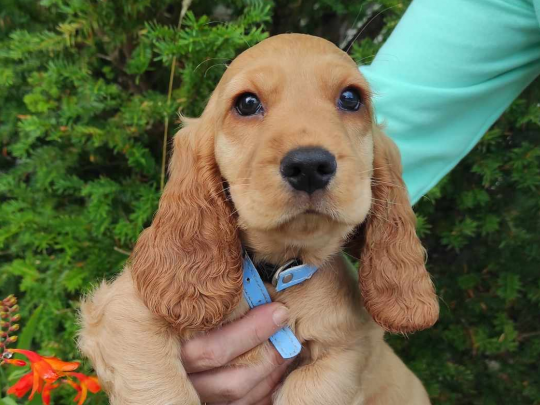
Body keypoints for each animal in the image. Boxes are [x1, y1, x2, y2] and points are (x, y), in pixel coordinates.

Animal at [78, 33, 438, 402]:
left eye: (351, 98)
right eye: (247, 104)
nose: (309, 166)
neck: (274, 273)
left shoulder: (346, 353)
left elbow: (307, 388)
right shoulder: (125, 312)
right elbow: (160, 387)